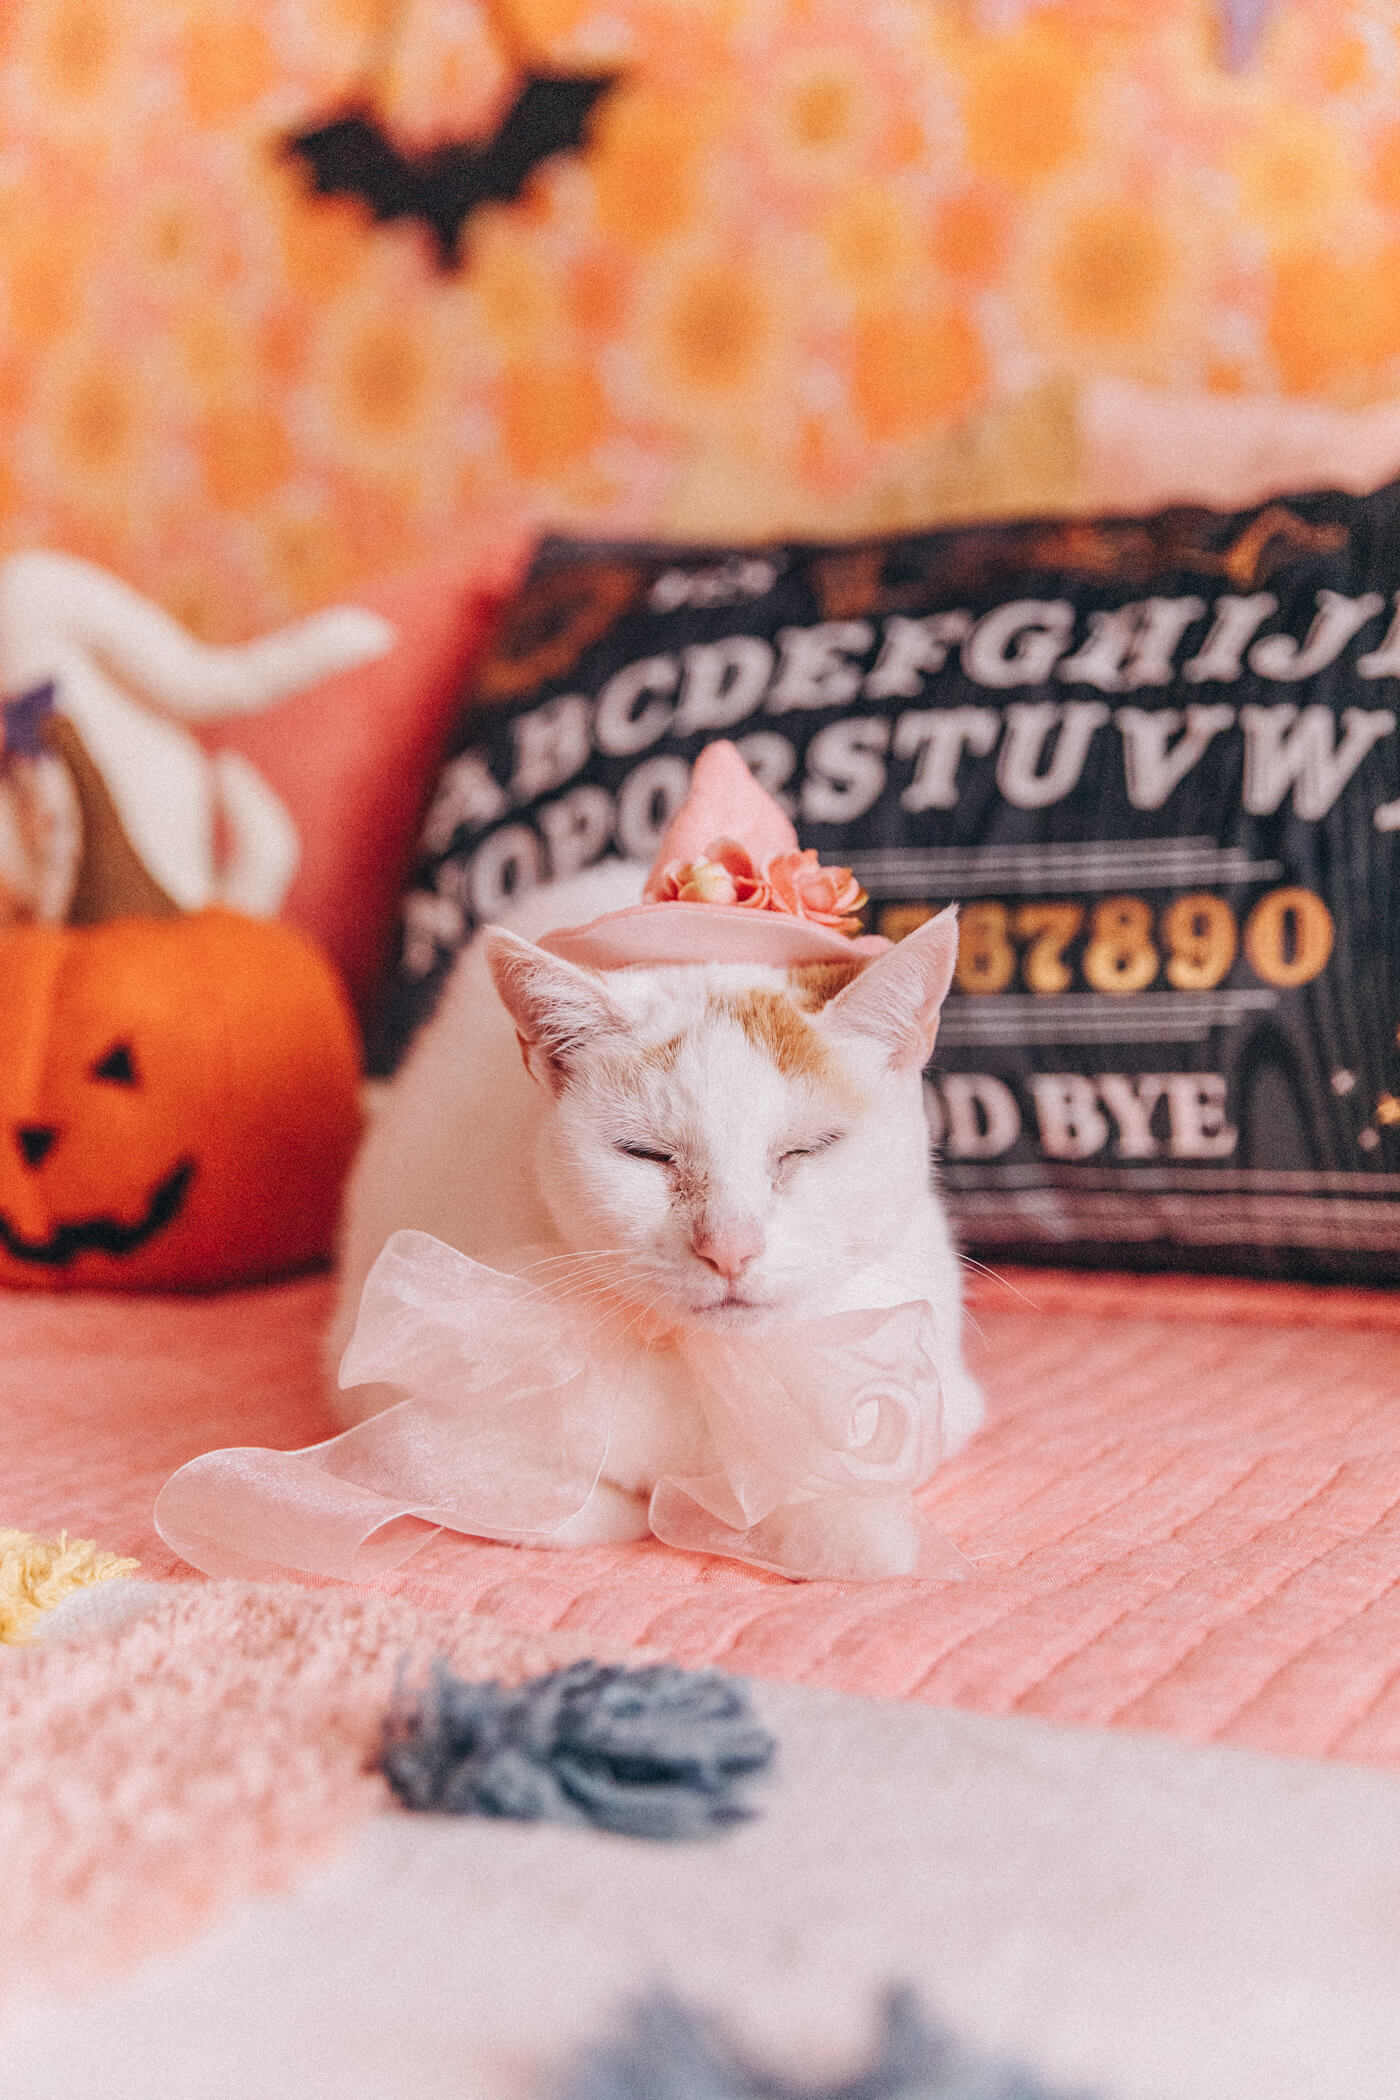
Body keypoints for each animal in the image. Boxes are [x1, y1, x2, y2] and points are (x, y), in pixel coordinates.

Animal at [331, 852, 986, 1579]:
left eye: (805, 1149)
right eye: (647, 1154)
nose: (729, 1247)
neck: (711, 1364)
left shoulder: (940, 1395)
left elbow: (845, 1482)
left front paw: (847, 1524)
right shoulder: (387, 1405)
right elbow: (547, 1503)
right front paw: (630, 1506)